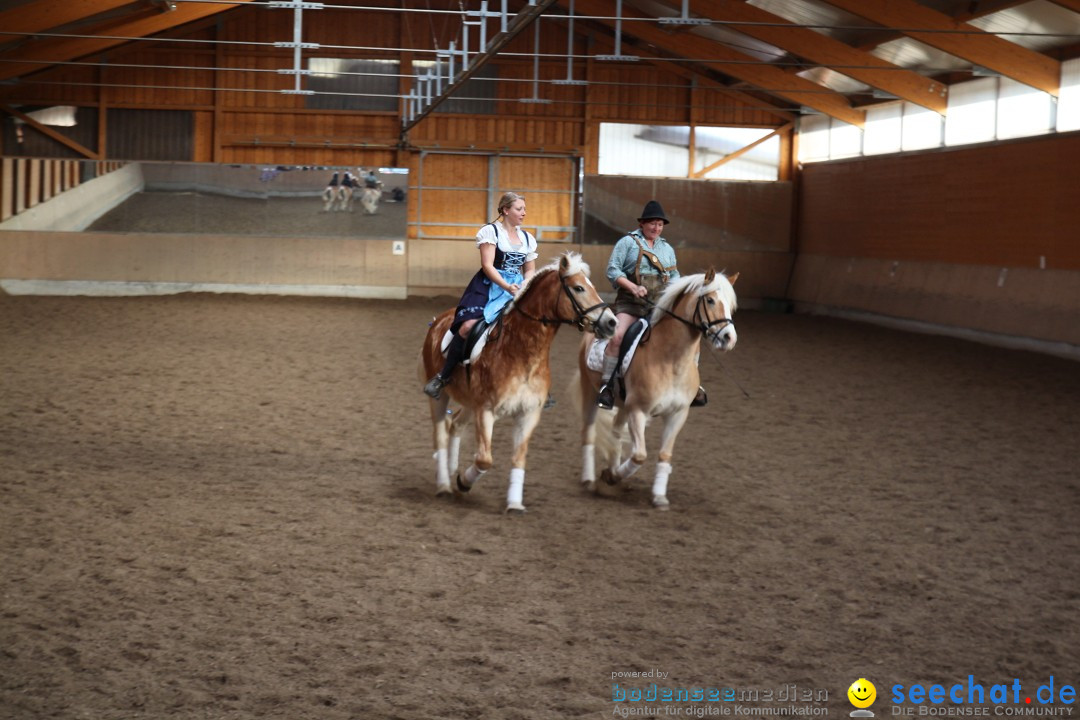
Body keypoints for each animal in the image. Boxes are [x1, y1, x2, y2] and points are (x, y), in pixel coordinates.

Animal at [419, 250, 617, 515]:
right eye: (578, 288)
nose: (612, 323)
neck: (522, 352)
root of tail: (438, 320)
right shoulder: (486, 410)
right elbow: (484, 459)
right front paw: (463, 482)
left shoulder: (528, 413)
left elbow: (518, 457)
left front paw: (514, 502)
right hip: (441, 398)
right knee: (440, 433)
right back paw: (444, 485)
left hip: (470, 402)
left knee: (456, 425)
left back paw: (452, 469)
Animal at [574, 269, 743, 511]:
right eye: (710, 300)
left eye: (731, 304)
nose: (729, 338)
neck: (670, 361)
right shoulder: (638, 411)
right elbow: (640, 456)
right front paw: (613, 477)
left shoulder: (677, 414)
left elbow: (664, 454)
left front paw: (659, 496)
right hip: (591, 393)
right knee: (588, 432)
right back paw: (590, 480)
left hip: (623, 405)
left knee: (616, 433)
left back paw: (611, 469)